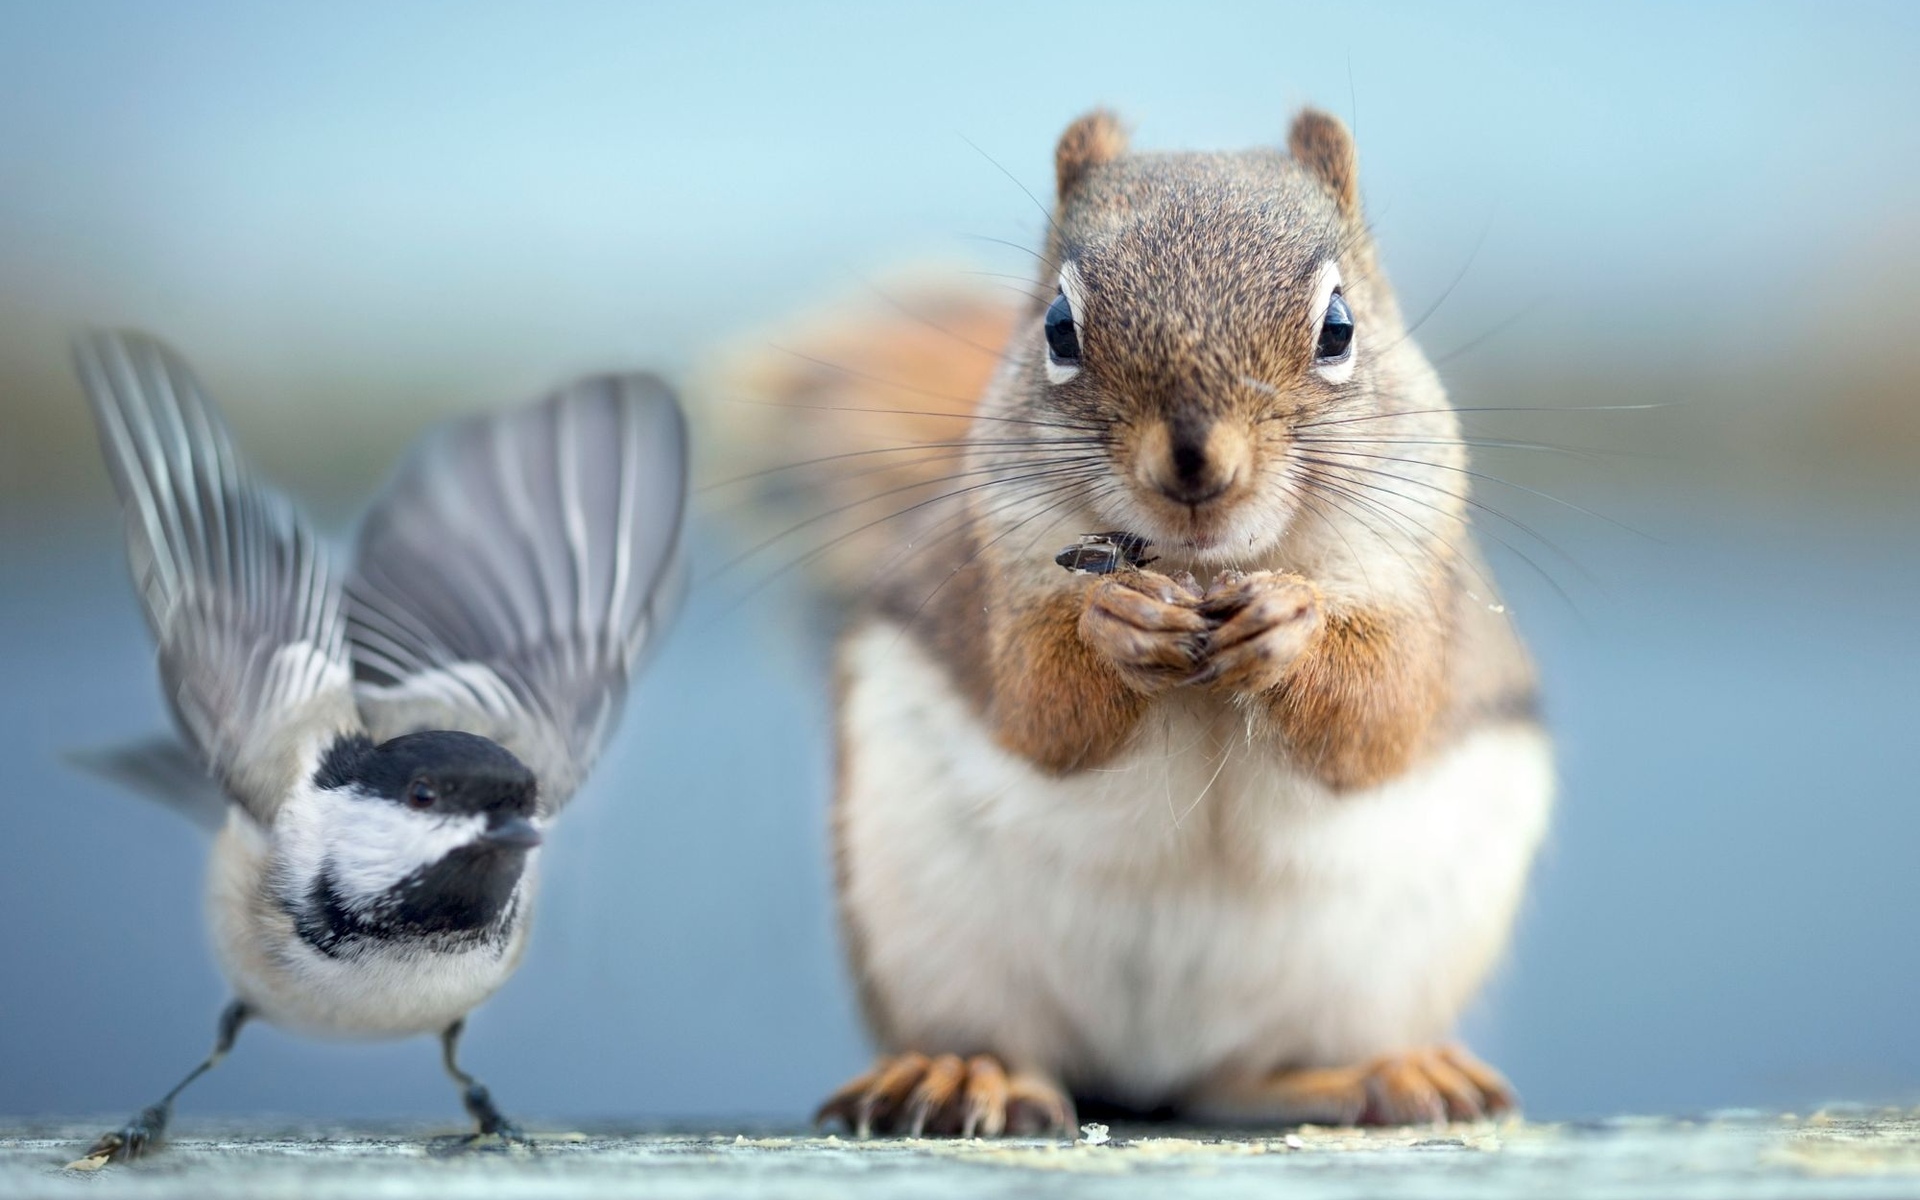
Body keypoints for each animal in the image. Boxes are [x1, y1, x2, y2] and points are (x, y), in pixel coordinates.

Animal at [706, 105, 1543, 1128]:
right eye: (1059, 328)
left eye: (1340, 328)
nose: (1195, 462)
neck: (1200, 566)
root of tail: (1153, 1071)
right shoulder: (994, 579)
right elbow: (1039, 707)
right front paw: (1118, 625)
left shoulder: (1418, 582)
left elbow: (1381, 716)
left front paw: (1289, 622)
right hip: (931, 936)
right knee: (1022, 1047)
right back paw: (963, 1073)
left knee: (1244, 1079)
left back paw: (1377, 1074)